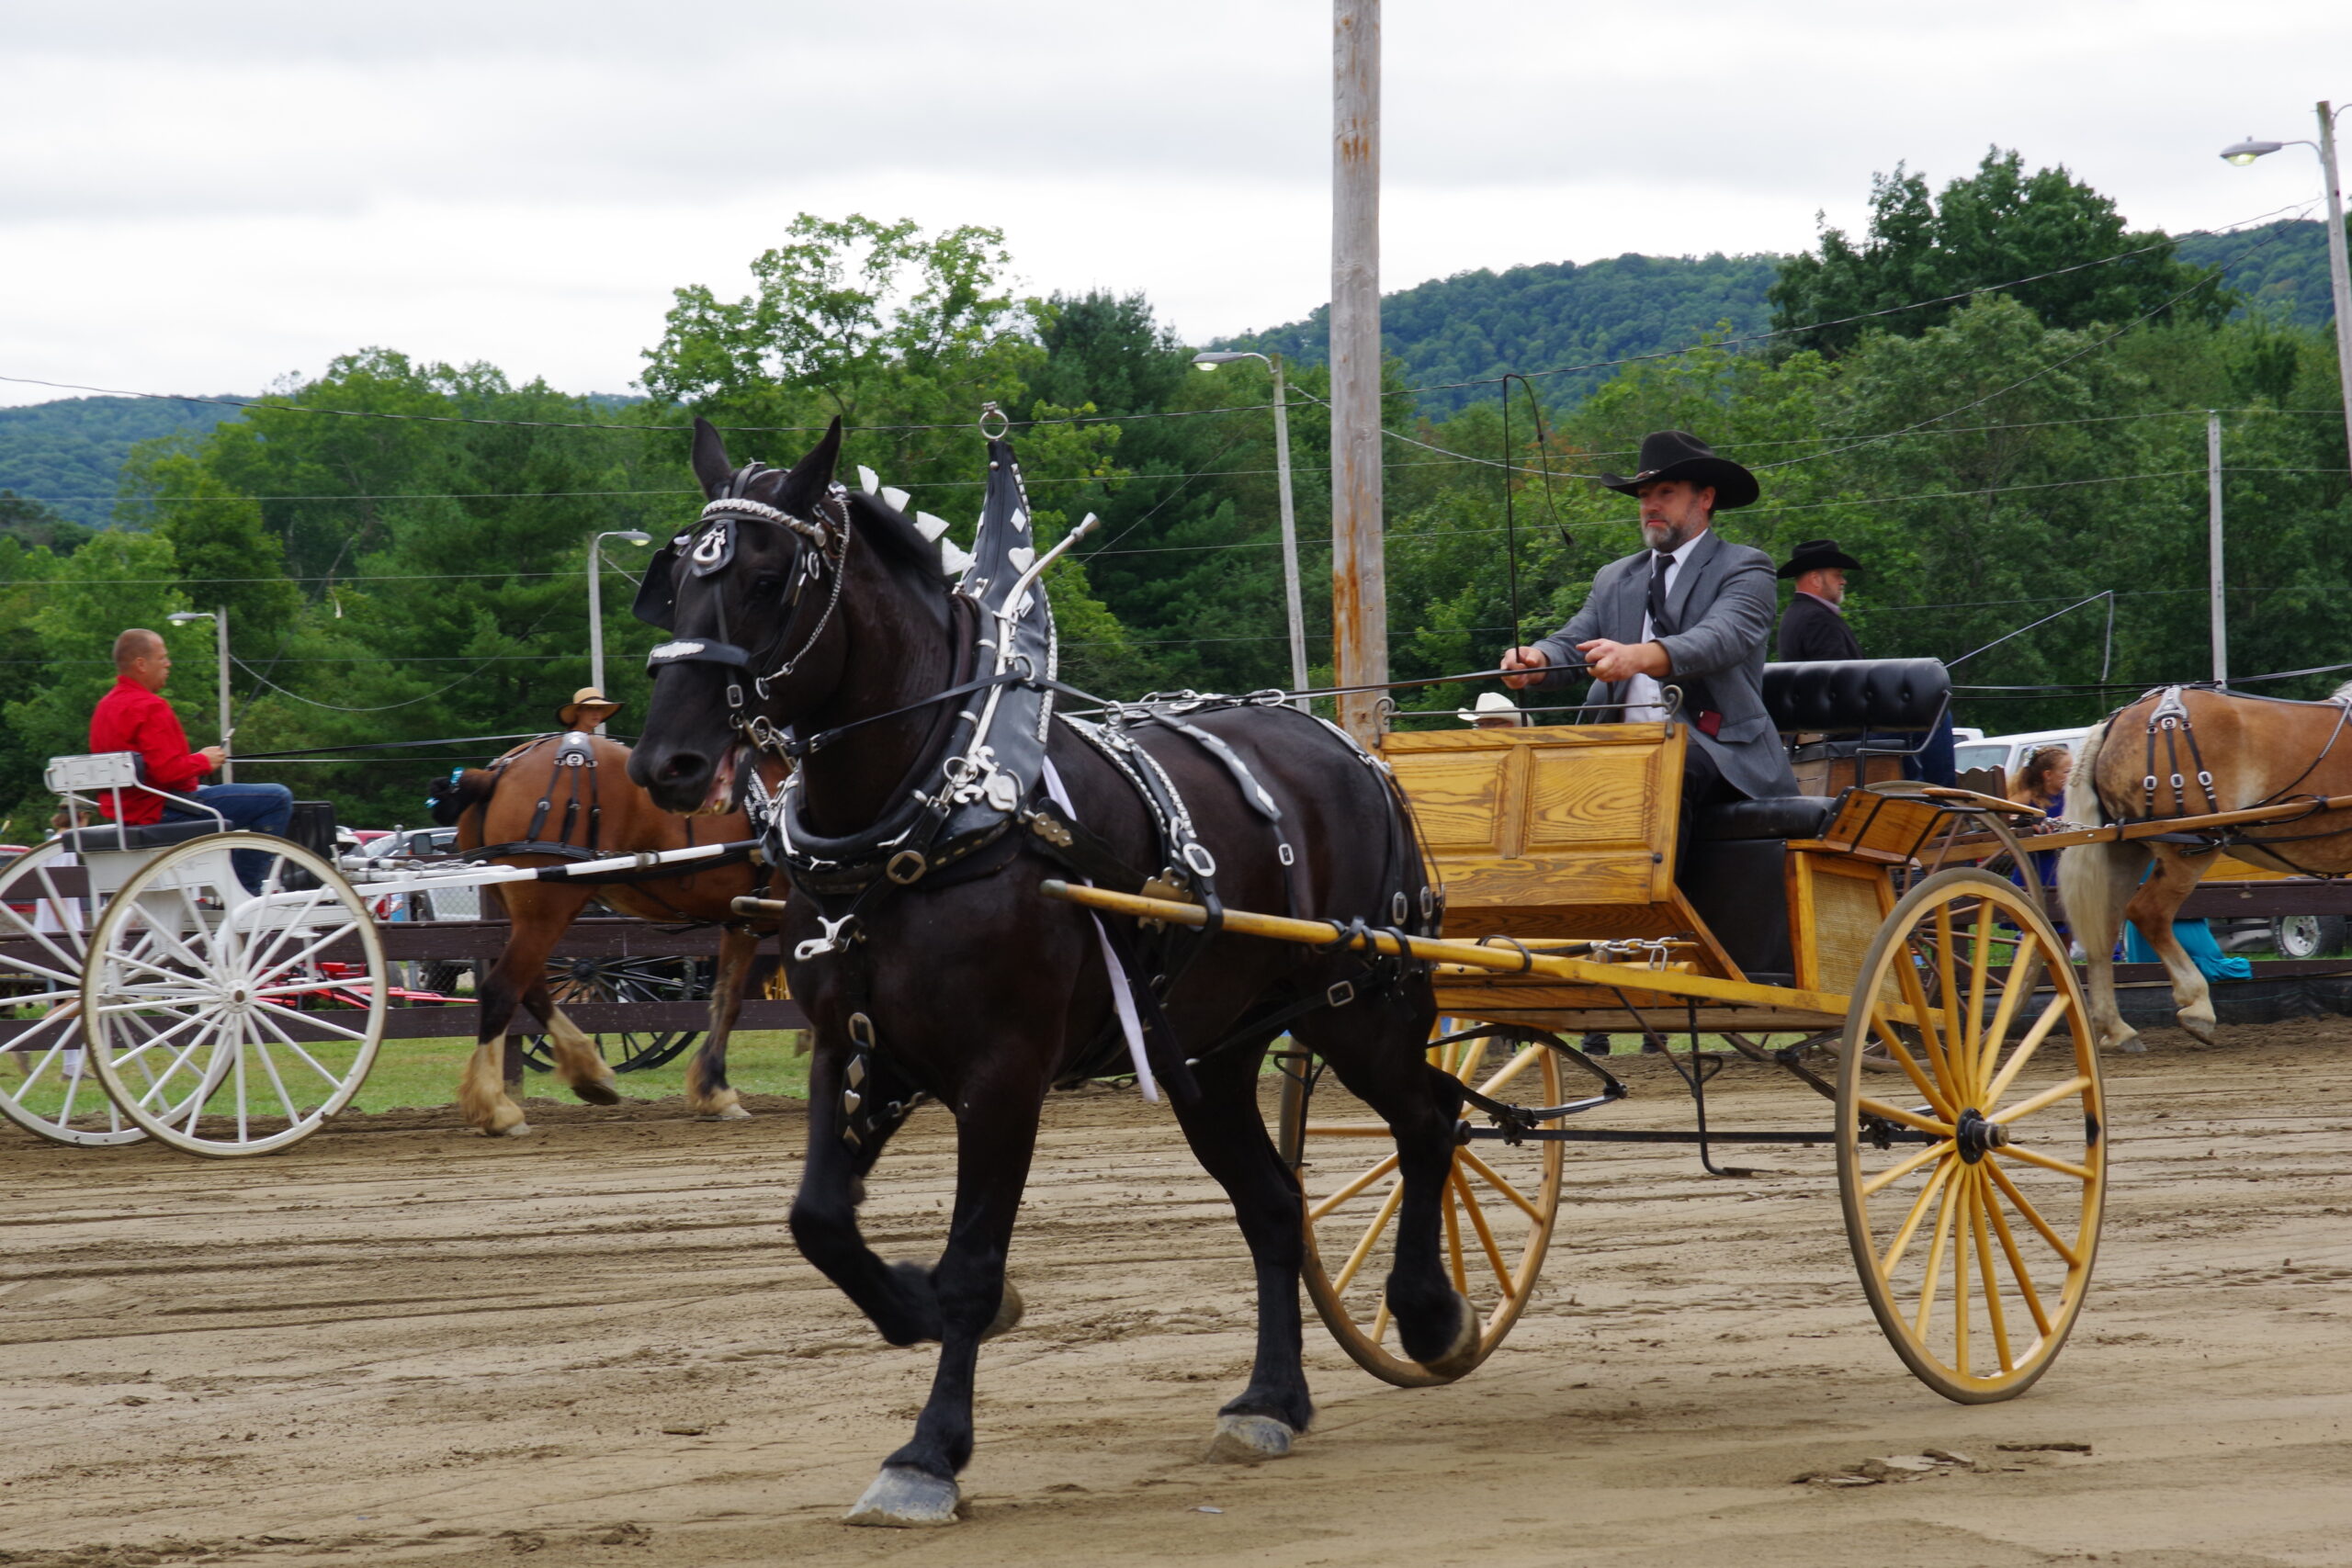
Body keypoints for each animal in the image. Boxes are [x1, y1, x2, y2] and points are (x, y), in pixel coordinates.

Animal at [433, 728, 780, 1133]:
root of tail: (497, 773)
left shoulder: (742, 921)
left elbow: (727, 1000)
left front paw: (715, 1091)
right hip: (549, 909)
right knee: (503, 989)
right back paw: (499, 1107)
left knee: (531, 987)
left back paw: (587, 1071)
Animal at [625, 423, 1467, 1523]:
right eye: (680, 572)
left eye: (768, 579)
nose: (666, 763)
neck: (931, 810)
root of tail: (1348, 747)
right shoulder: (854, 1051)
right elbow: (819, 1221)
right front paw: (907, 1306)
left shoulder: (1004, 1073)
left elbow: (974, 1265)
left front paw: (928, 1452)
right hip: (1209, 1056)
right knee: (1277, 1202)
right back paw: (1270, 1399)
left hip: (1356, 1004)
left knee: (1430, 1120)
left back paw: (1429, 1315)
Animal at [2051, 686, 2352, 1053]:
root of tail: (2116, 722)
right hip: (2187, 849)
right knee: (2149, 913)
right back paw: (2197, 1006)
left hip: (2125, 850)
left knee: (2104, 928)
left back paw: (2117, 1028)